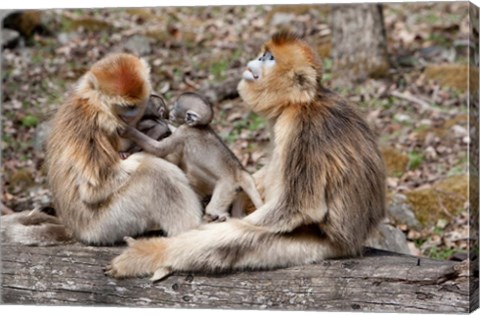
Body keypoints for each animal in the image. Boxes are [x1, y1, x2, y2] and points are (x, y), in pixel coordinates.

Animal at [41, 53, 204, 246]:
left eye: (134, 106)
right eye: (126, 106)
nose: (131, 114)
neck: (100, 107)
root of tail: (75, 231)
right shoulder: (88, 125)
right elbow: (95, 188)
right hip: (104, 226)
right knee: (157, 174)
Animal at [119, 92, 262, 223]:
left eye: (176, 106)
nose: (170, 111)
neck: (198, 126)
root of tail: (240, 172)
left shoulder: (183, 131)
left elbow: (159, 149)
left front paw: (128, 131)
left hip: (228, 185)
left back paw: (217, 214)